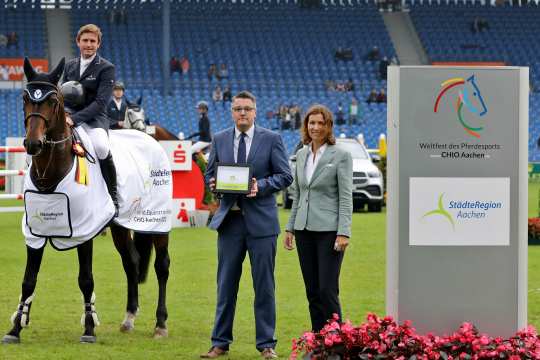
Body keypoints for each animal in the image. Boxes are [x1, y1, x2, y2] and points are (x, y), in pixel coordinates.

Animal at [2, 57, 171, 344]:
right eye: (25, 97)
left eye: (53, 100)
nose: (33, 144)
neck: (51, 171)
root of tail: (149, 138)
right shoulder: (34, 231)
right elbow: (28, 280)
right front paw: (15, 329)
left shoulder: (84, 230)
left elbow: (86, 279)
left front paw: (89, 329)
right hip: (120, 227)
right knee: (131, 262)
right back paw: (129, 318)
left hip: (157, 223)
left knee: (162, 266)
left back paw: (160, 324)